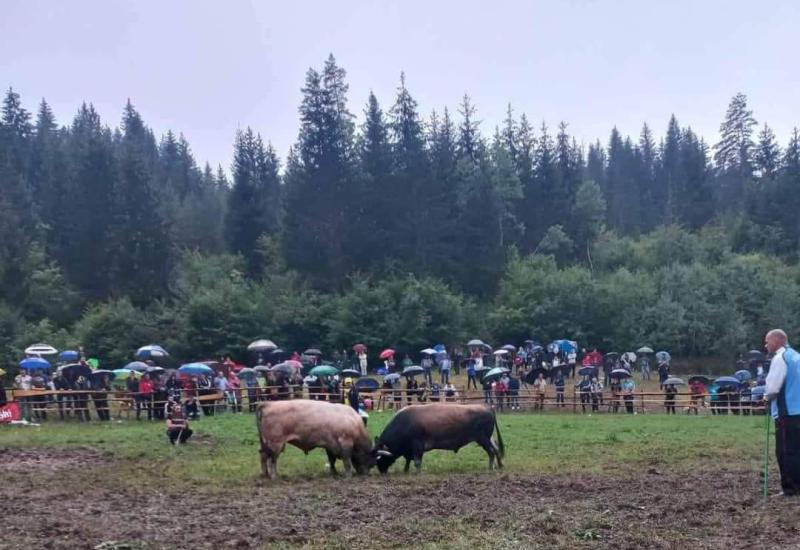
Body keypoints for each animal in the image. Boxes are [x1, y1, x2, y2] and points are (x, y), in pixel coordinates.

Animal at [376, 404, 506, 476]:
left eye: (380, 458)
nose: (381, 471)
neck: (404, 423)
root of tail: (486, 407)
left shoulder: (417, 446)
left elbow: (417, 461)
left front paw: (418, 473)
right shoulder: (409, 449)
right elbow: (408, 460)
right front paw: (405, 470)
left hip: (483, 439)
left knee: (491, 451)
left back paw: (491, 467)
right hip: (488, 438)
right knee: (496, 449)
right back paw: (499, 465)